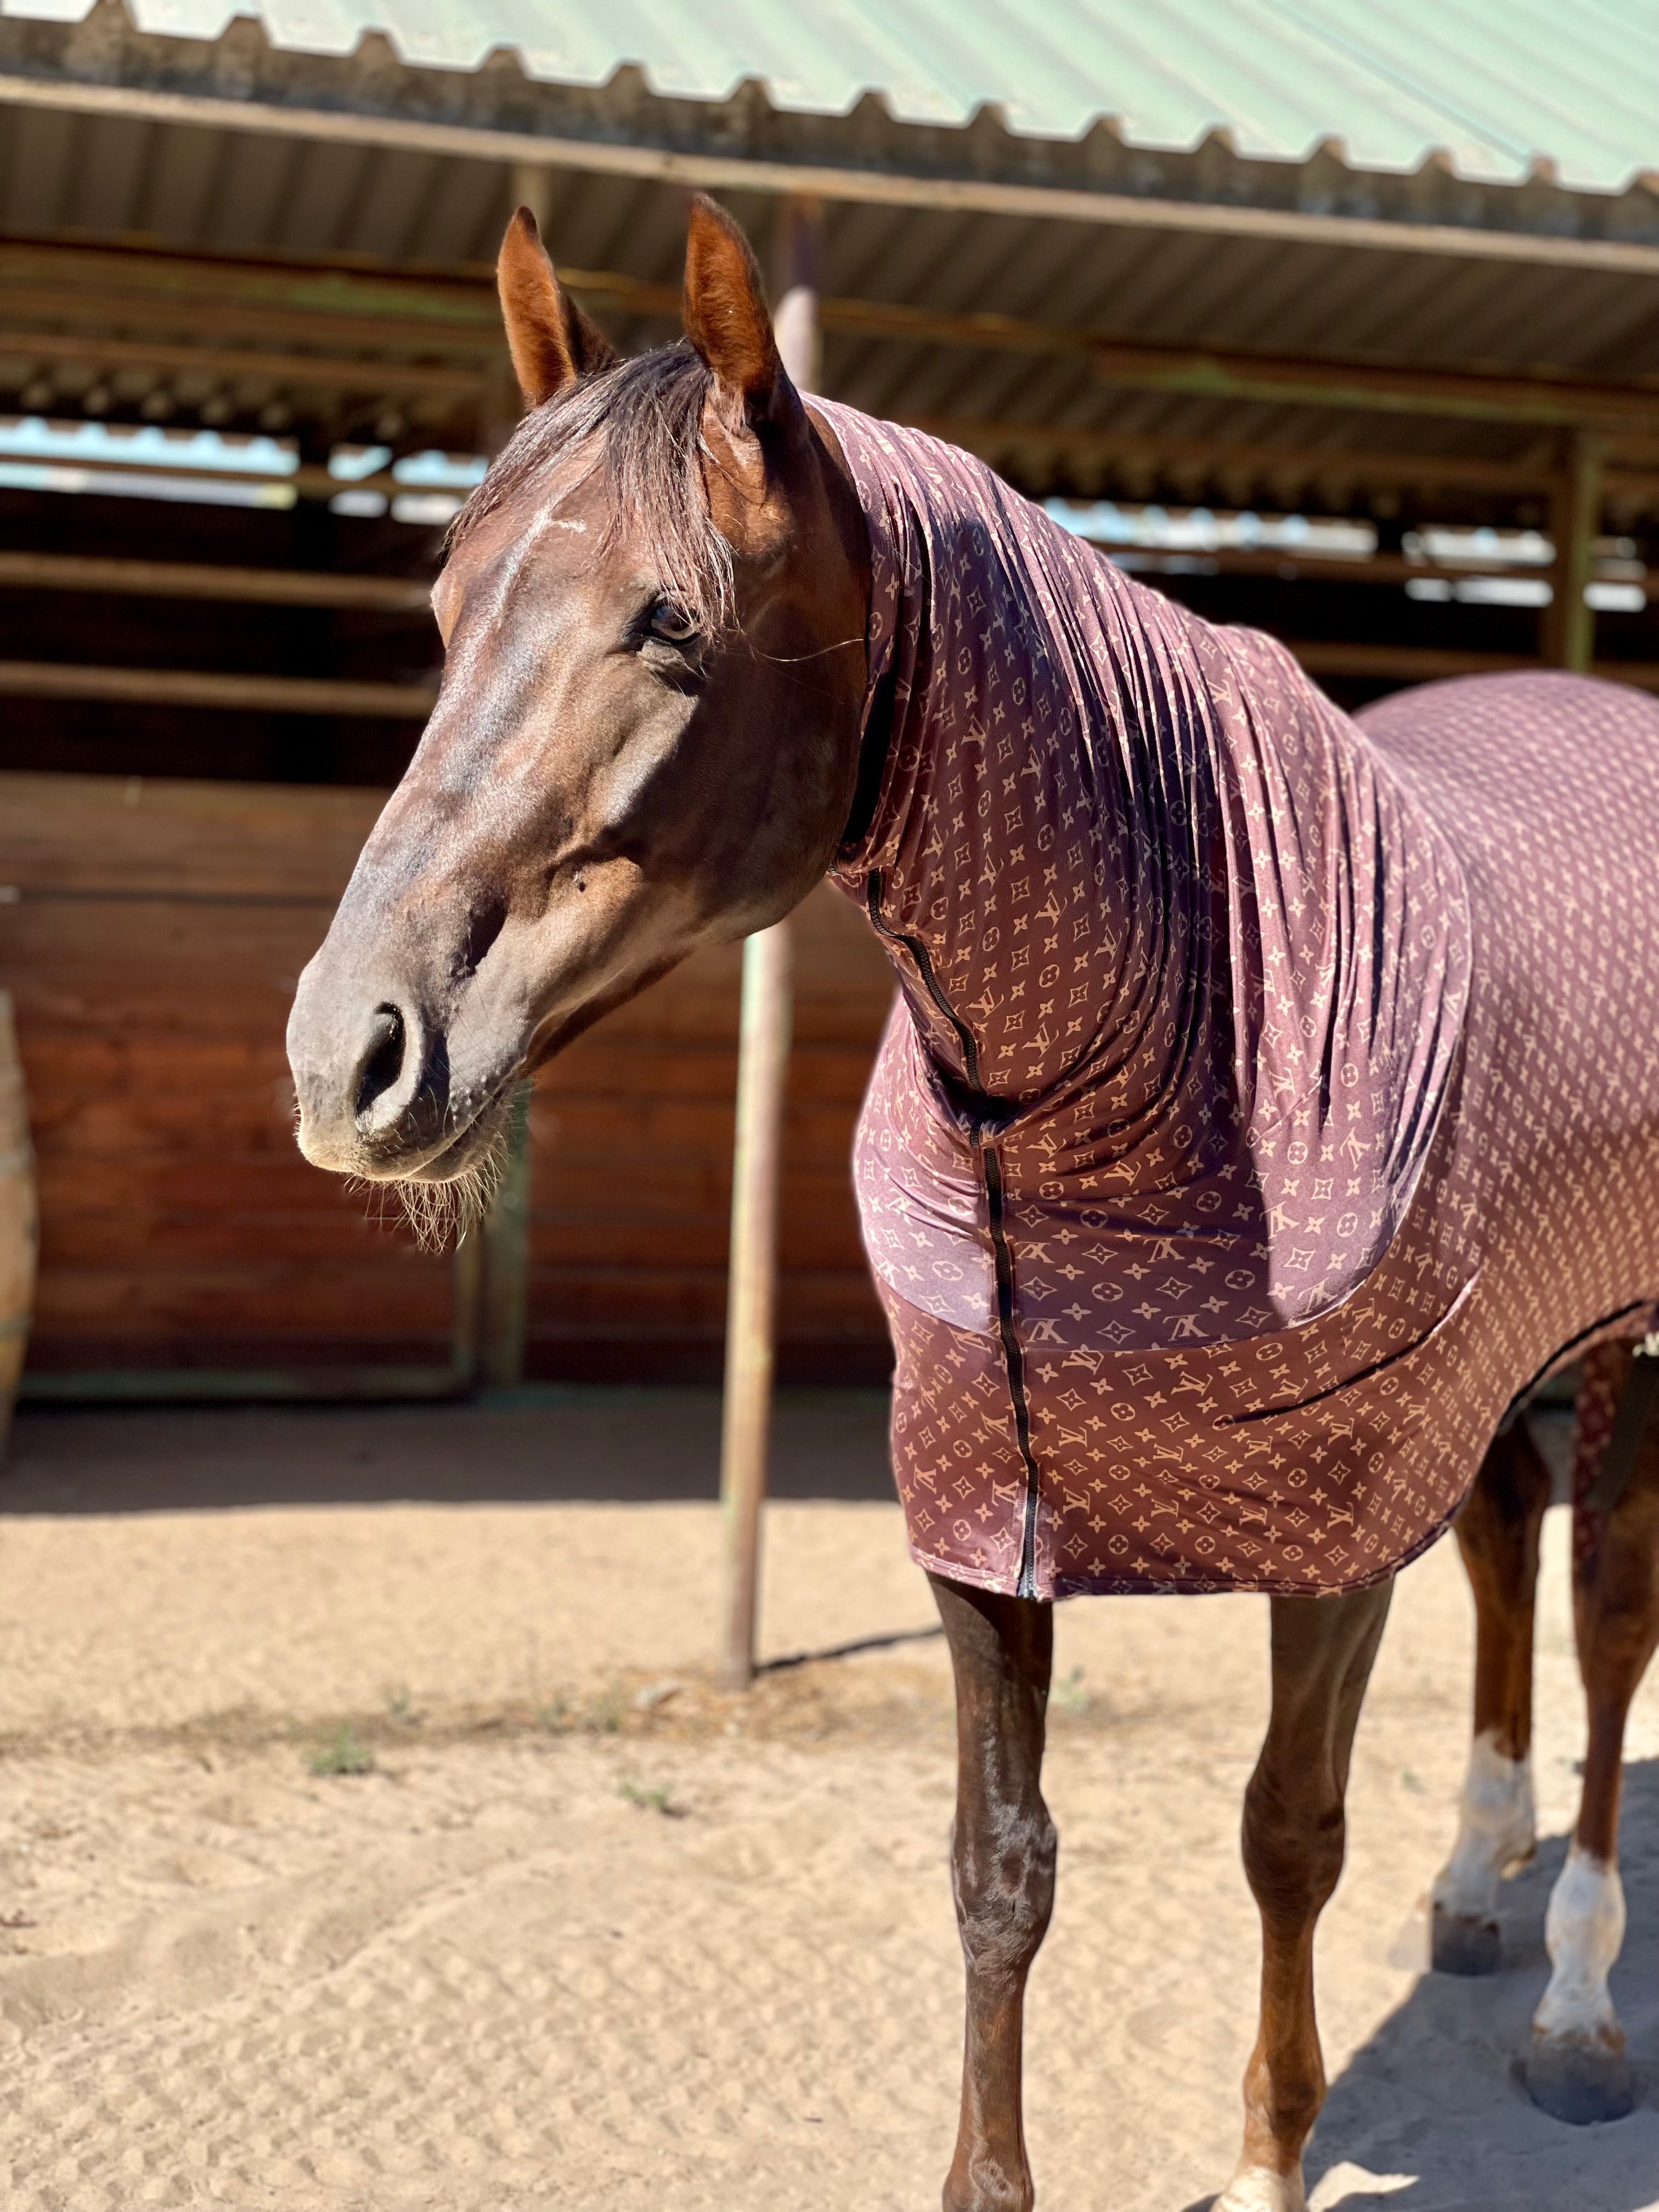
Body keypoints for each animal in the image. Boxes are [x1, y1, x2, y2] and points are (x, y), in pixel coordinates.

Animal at [286, 195, 1659, 2210]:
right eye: (448, 614)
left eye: (673, 628)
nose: (346, 1056)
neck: (1179, 1034)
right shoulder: (978, 1524)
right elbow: (998, 1871)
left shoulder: (1330, 1539)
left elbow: (1286, 1832)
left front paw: (1271, 2156)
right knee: (1504, 1545)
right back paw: (1475, 1883)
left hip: (1632, 1337)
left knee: (1605, 1611)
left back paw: (1573, 2005)